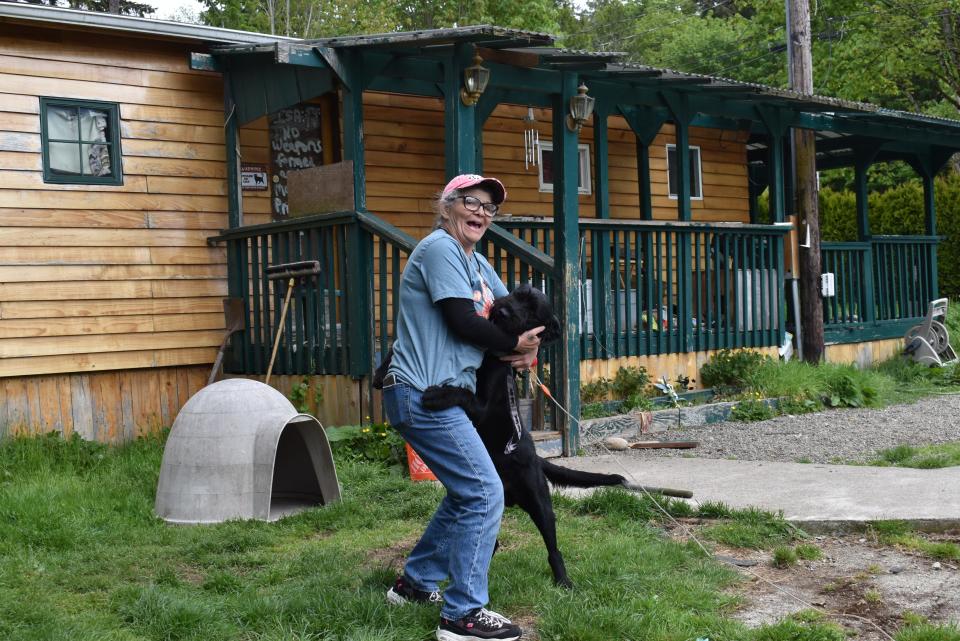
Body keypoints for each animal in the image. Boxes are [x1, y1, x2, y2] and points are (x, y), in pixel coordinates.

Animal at [374, 284, 632, 584]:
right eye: (517, 293)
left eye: (532, 310)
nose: (504, 310)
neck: (490, 354)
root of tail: (538, 459)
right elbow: (394, 351)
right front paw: (382, 371)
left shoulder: (483, 407)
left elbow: (462, 393)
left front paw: (438, 395)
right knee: (490, 542)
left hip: (540, 503)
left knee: (552, 547)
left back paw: (563, 580)